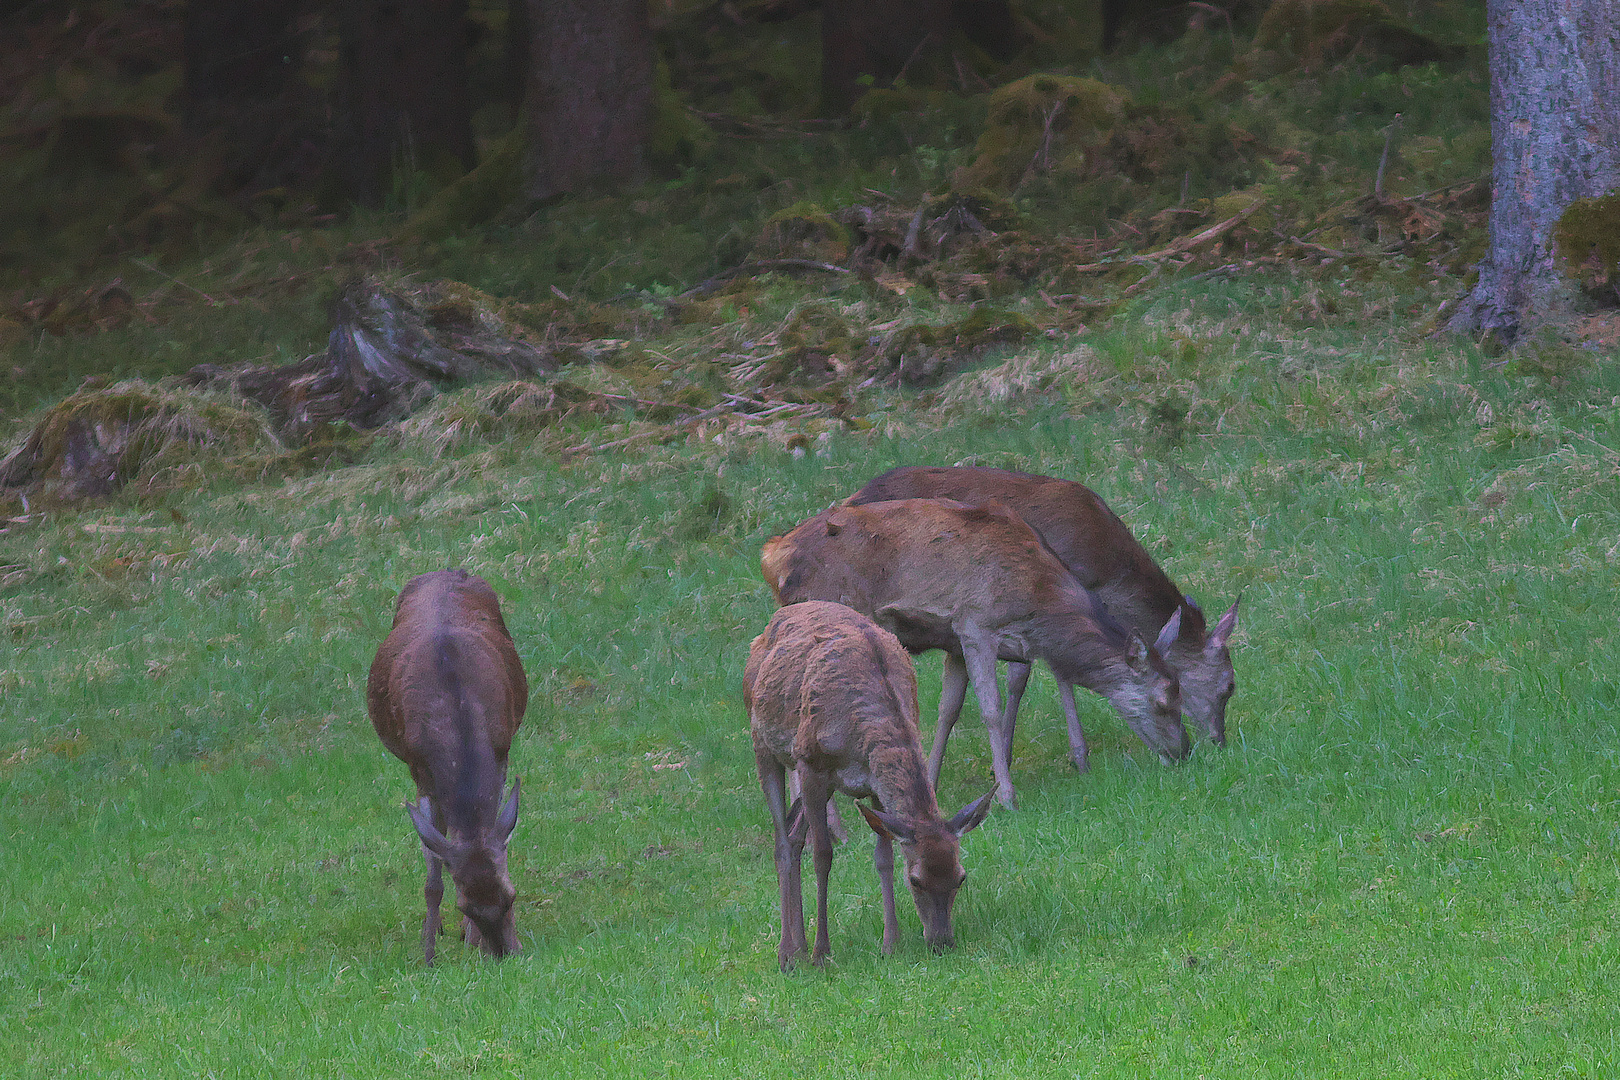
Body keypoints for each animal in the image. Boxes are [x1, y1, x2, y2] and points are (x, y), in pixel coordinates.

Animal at [367, 569, 524, 965]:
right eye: (465, 905)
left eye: (512, 896)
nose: (504, 953)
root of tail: (443, 571)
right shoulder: (420, 772)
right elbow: (433, 877)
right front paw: (429, 953)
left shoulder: (502, 751)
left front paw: (469, 938)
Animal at [741, 599, 991, 971]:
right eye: (916, 880)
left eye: (960, 877)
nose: (942, 942)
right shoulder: (810, 764)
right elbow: (823, 855)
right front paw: (822, 952)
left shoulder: (873, 787)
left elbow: (883, 857)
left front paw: (891, 943)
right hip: (765, 744)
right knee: (783, 842)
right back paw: (789, 953)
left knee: (793, 834)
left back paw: (798, 945)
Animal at [758, 495, 1192, 806]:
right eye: (1164, 700)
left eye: (1181, 692)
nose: (1184, 751)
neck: (1036, 599)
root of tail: (772, 557)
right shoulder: (974, 621)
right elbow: (990, 710)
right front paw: (1007, 796)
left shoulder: (954, 640)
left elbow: (948, 711)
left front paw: (931, 783)